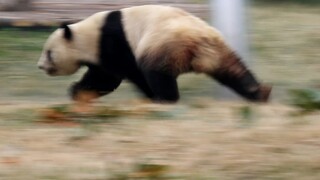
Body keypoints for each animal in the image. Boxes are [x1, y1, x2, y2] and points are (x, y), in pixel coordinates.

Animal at [38, 4, 272, 102]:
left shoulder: (112, 43)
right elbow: (102, 76)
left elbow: (110, 76)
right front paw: (78, 92)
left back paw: (164, 98)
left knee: (157, 73)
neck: (85, 34)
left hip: (164, 45)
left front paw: (76, 92)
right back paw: (258, 92)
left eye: (49, 53)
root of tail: (198, 41)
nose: (40, 66)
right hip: (218, 50)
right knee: (233, 70)